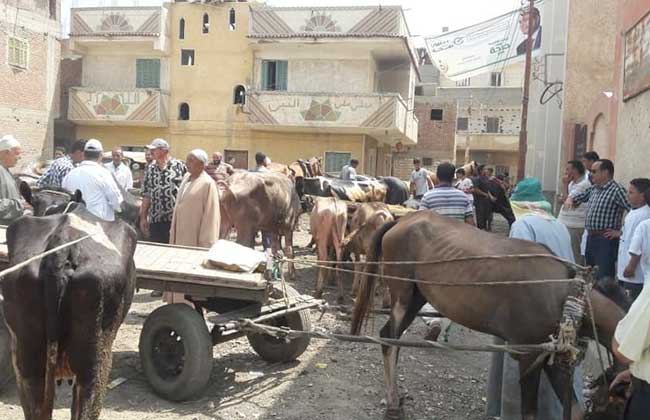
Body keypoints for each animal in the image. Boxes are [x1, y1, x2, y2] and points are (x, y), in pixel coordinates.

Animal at [352, 213, 624, 420]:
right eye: (619, 400)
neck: (566, 295)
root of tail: (400, 219)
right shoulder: (528, 352)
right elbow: (530, 413)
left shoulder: (547, 351)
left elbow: (575, 411)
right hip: (402, 295)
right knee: (388, 338)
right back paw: (392, 403)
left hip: (416, 297)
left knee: (393, 340)